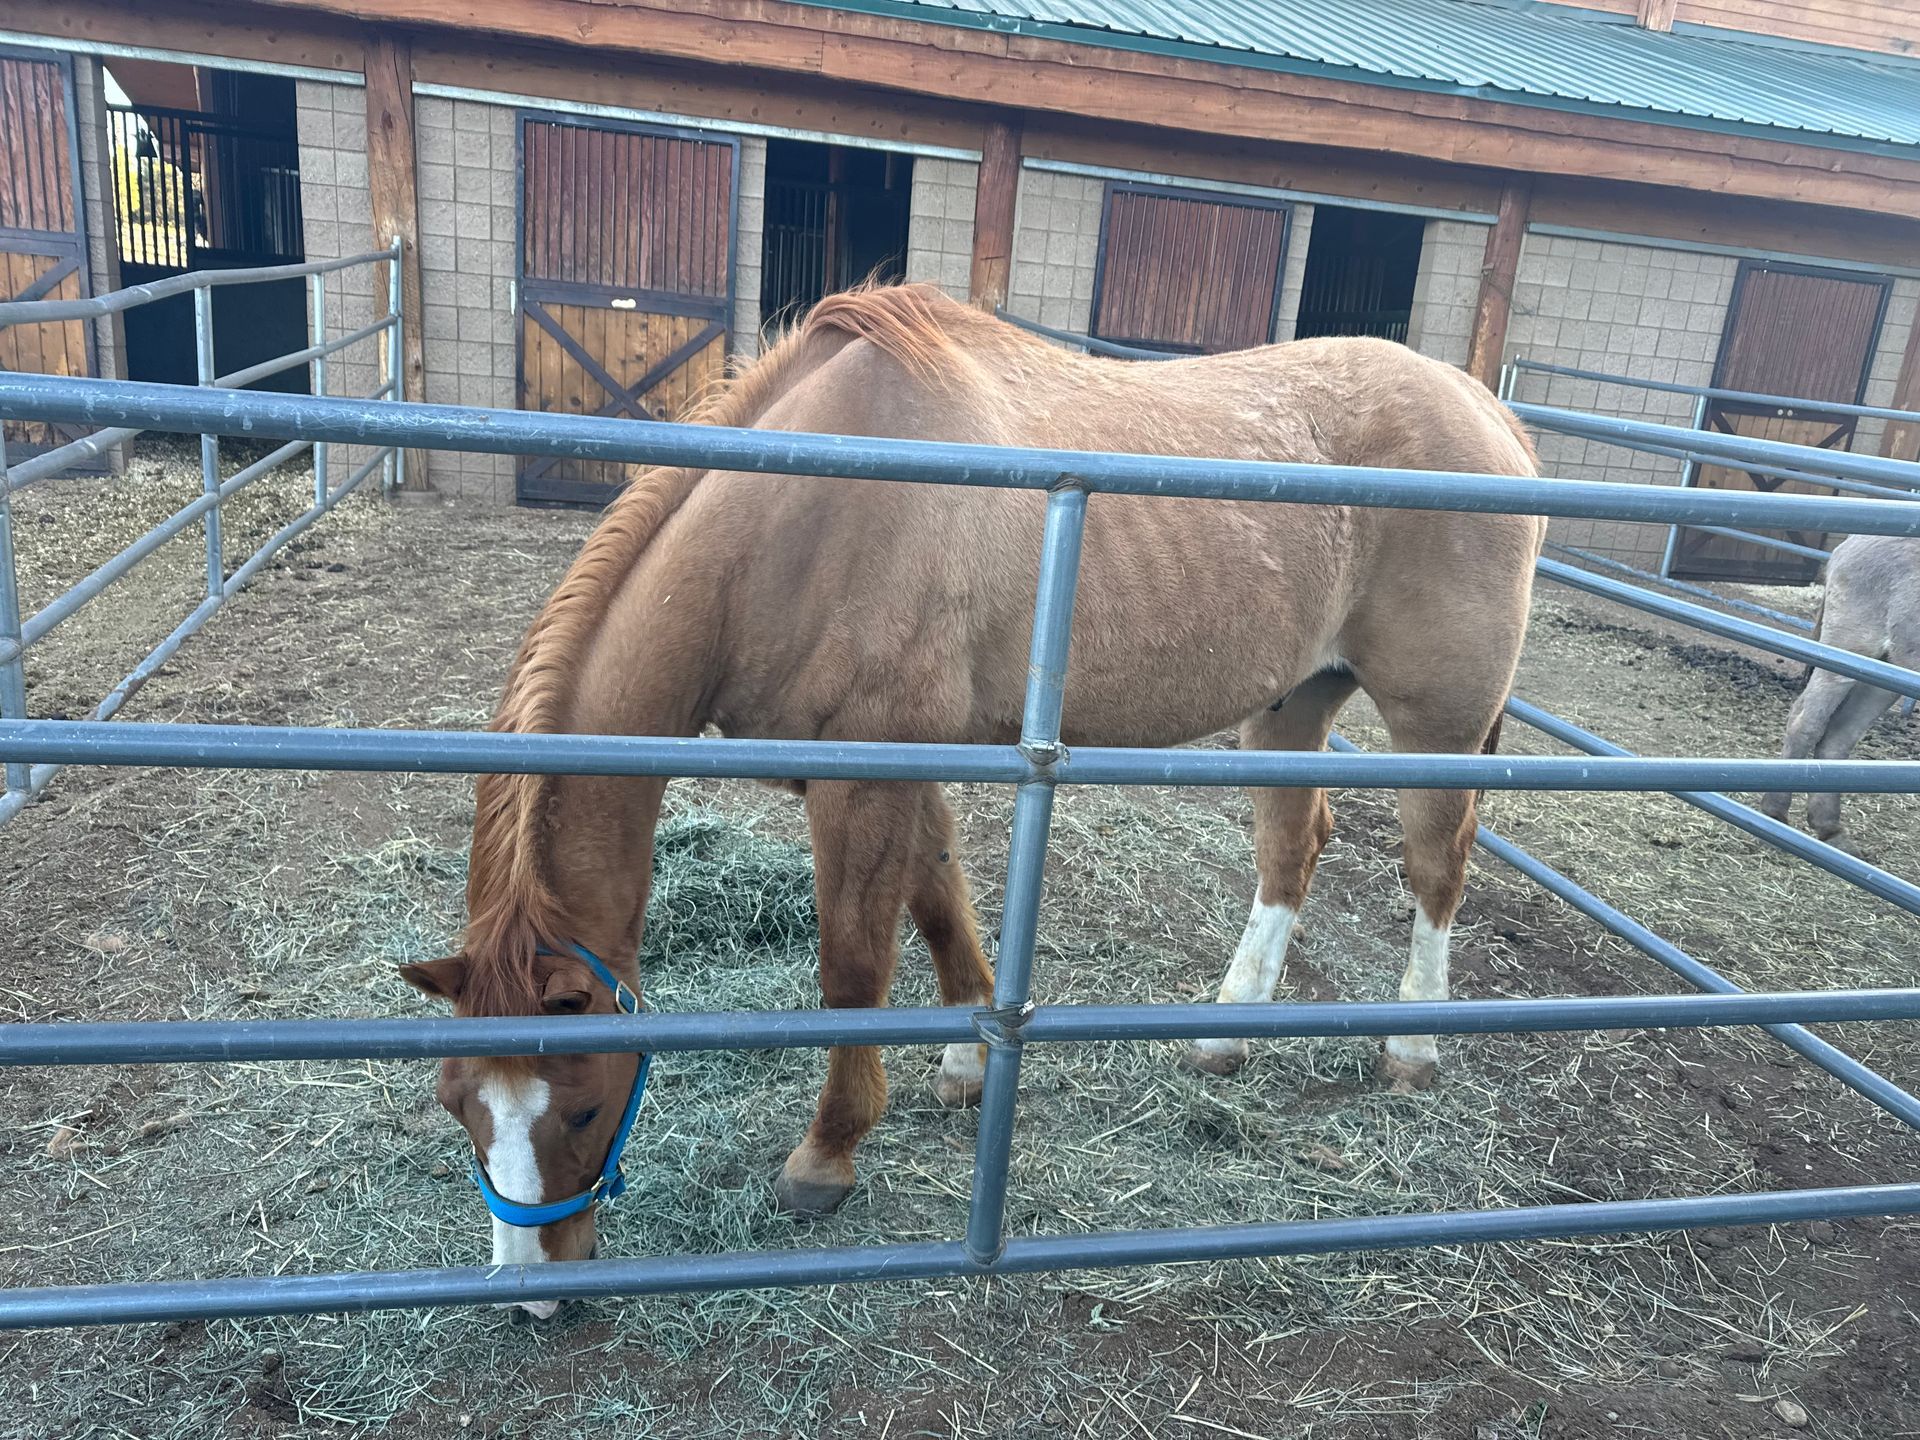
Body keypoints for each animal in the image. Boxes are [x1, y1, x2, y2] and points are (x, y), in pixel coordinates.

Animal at [399, 284, 1546, 1313]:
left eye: (584, 1107)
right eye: (458, 1106)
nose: (531, 1291)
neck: (799, 520)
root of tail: (1487, 413)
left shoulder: (863, 777)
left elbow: (854, 966)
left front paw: (827, 1154)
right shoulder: (905, 765)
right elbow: (939, 901)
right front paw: (964, 1065)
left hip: (1437, 726)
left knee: (1435, 865)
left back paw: (1411, 1045)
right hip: (1292, 705)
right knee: (1291, 847)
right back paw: (1225, 1033)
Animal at [1756, 533, 1919, 852]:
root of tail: (1852, 539)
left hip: (1885, 670)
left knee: (1838, 735)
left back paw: (1829, 828)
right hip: (1848, 649)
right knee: (1805, 722)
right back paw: (1775, 812)